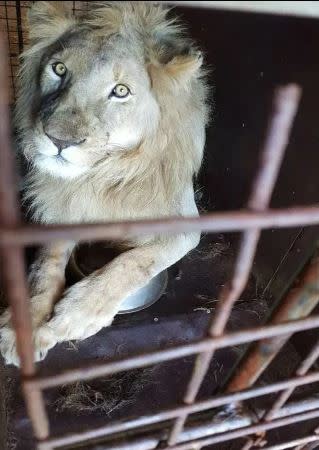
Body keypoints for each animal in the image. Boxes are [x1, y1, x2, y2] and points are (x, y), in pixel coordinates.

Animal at [0, 0, 210, 366]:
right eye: (59, 69)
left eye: (120, 91)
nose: (59, 140)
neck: (100, 175)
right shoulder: (63, 206)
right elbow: (45, 264)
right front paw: (23, 324)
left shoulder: (183, 223)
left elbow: (135, 262)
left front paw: (74, 316)